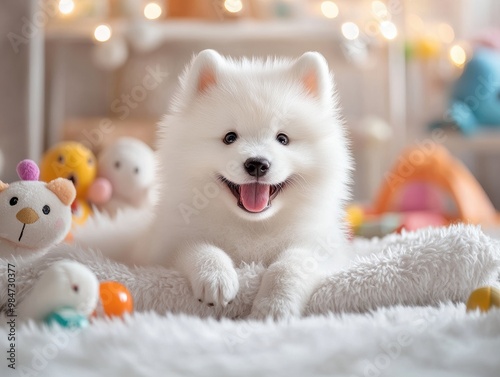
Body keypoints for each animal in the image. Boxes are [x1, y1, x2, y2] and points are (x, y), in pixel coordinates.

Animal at [148, 48, 352, 316]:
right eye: (230, 137)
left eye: (282, 139)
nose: (257, 163)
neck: (253, 227)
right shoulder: (166, 245)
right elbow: (197, 247)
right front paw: (216, 277)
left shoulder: (319, 245)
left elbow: (288, 266)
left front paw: (274, 306)